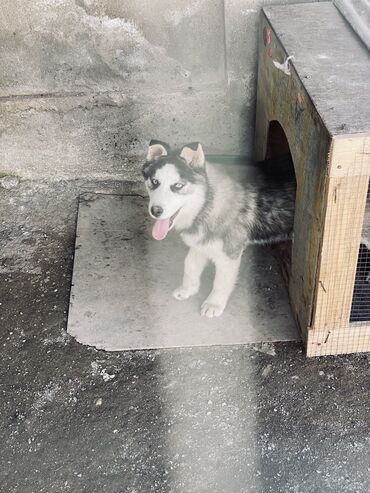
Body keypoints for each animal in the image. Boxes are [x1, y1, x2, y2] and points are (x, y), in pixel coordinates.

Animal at [142, 140, 370, 318]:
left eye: (178, 186)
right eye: (154, 182)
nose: (156, 211)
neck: (207, 203)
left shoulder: (229, 253)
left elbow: (220, 281)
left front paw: (214, 303)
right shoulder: (202, 242)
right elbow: (189, 264)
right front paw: (188, 289)